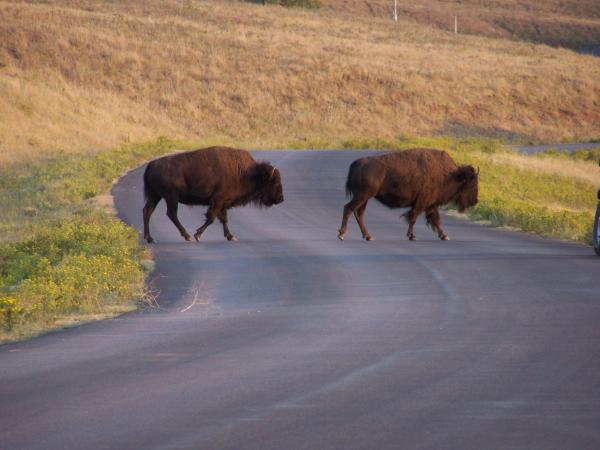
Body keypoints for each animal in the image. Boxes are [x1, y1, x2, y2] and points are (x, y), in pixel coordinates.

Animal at [141, 145, 284, 243]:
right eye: (274, 182)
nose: (281, 199)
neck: (246, 173)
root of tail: (151, 164)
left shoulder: (223, 203)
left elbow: (223, 219)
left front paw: (231, 236)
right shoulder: (217, 201)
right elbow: (211, 218)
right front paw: (197, 235)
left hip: (156, 196)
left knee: (148, 211)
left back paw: (150, 238)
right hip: (171, 197)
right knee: (171, 214)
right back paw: (187, 236)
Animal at [338, 149, 478, 243]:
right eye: (471, 183)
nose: (475, 201)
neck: (450, 175)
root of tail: (357, 163)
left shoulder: (430, 204)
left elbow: (435, 219)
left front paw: (444, 236)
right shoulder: (422, 203)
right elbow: (414, 217)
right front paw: (411, 236)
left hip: (364, 198)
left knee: (359, 213)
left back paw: (368, 236)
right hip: (362, 196)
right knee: (348, 209)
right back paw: (342, 235)